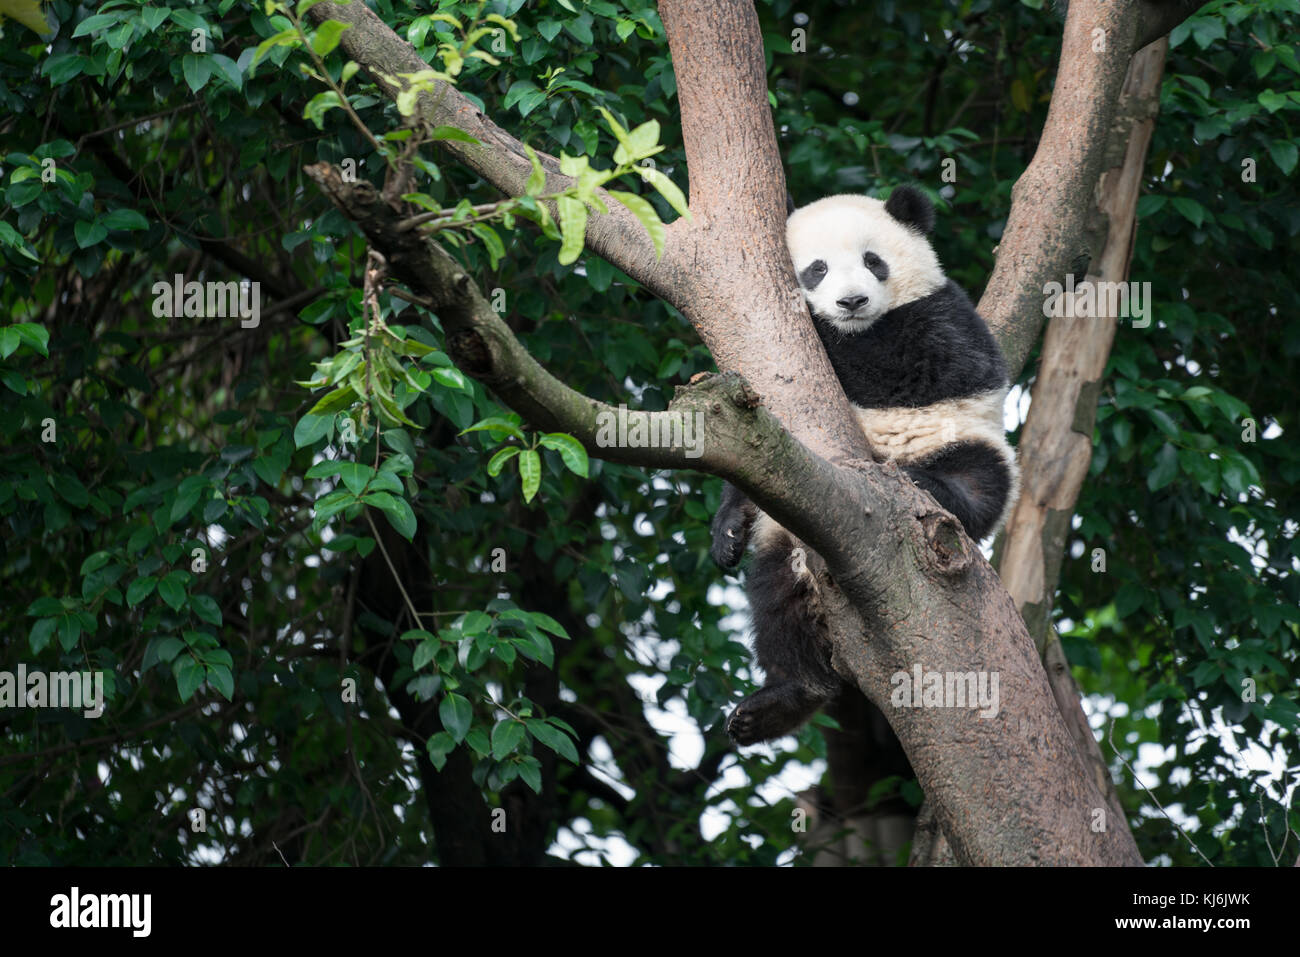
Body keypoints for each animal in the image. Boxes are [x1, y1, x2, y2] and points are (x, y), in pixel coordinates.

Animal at [711, 184, 1019, 747]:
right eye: (817, 269)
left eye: (873, 260)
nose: (850, 302)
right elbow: (748, 454)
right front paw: (725, 533)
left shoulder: (943, 321)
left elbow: (905, 361)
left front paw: (827, 330)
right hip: (787, 539)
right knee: (776, 604)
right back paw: (780, 701)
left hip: (970, 443)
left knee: (981, 480)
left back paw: (927, 483)